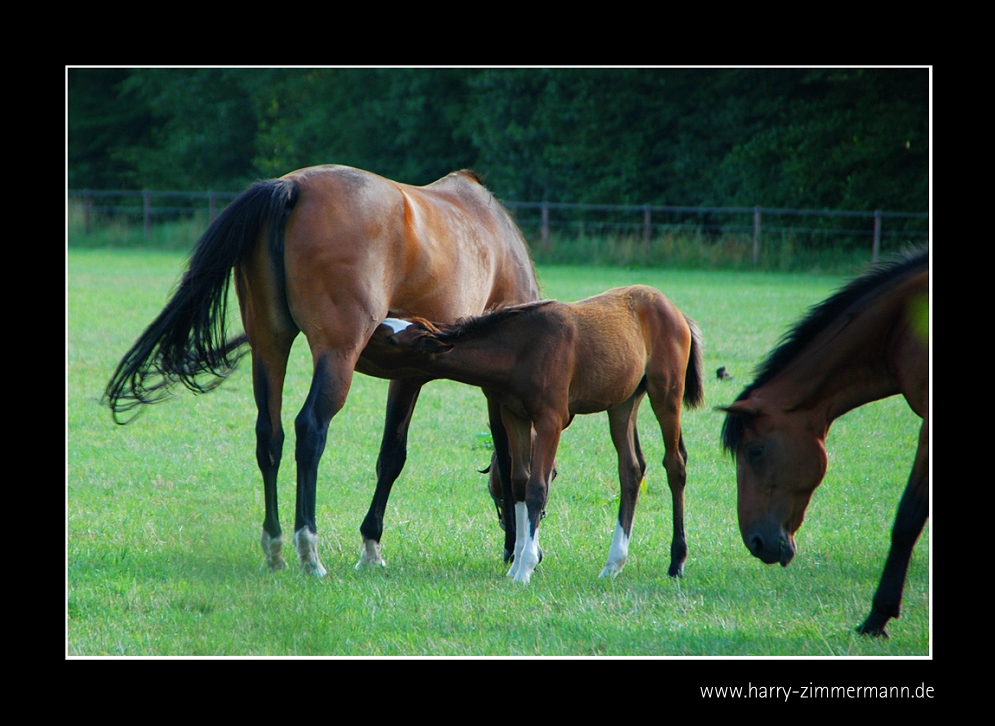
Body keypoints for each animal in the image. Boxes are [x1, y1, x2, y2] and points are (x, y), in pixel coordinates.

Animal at [105, 166, 540, 580]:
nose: (530, 549)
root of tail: (293, 187)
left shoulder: (407, 374)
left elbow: (389, 455)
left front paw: (370, 547)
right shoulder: (436, 379)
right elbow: (452, 454)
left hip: (270, 347)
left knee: (270, 435)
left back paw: (275, 548)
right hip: (336, 356)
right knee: (310, 430)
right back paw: (309, 550)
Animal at [362, 286, 704, 584]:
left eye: (391, 339)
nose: (361, 339)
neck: (521, 349)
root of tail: (676, 311)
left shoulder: (550, 420)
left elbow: (538, 488)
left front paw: (525, 568)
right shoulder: (514, 416)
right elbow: (519, 483)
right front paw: (517, 564)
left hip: (666, 395)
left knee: (674, 464)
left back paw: (676, 562)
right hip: (622, 403)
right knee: (631, 469)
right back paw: (612, 565)